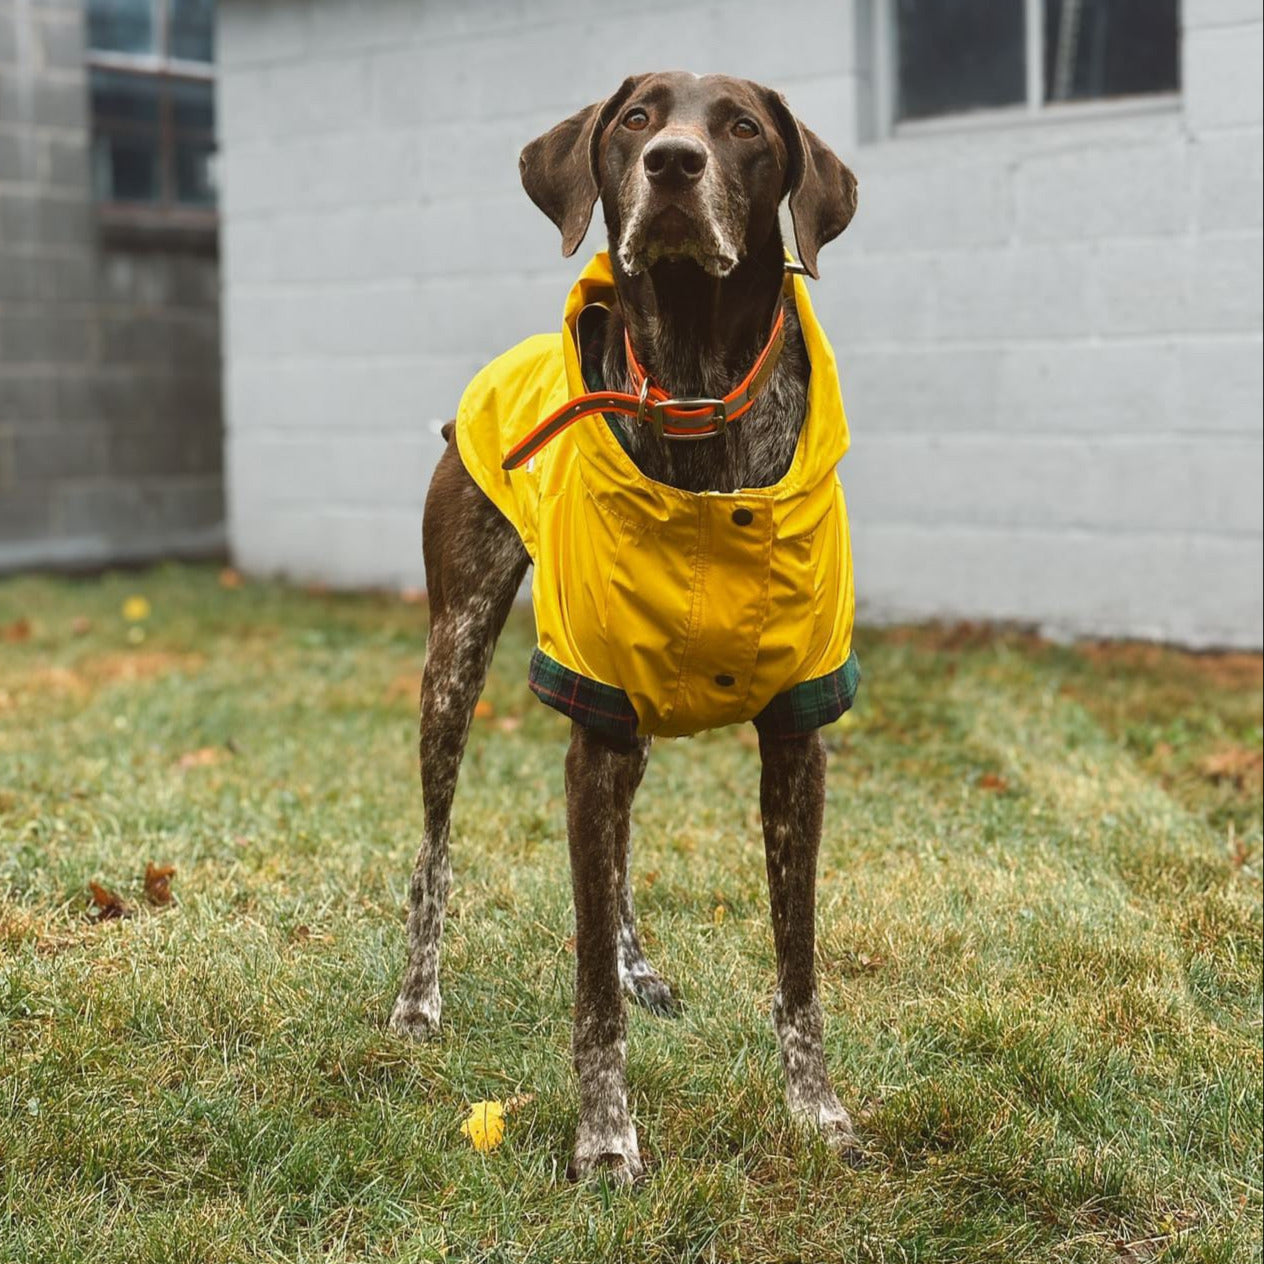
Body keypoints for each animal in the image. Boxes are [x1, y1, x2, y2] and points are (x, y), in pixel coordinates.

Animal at [384, 73, 859, 1183]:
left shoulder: (795, 735)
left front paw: (814, 1109)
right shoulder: (590, 720)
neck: (694, 392)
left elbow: (798, 962)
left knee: (619, 865)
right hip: (454, 661)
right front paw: (605, 1139)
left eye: (744, 128)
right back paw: (419, 999)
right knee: (435, 849)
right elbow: (588, 986)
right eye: (638, 117)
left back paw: (643, 967)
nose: (672, 163)